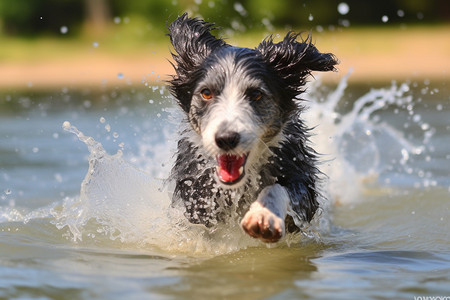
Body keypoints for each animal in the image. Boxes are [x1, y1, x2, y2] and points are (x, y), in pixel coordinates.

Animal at [167, 14, 336, 244]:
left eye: (256, 94)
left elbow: (281, 190)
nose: (226, 138)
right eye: (206, 93)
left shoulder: (298, 173)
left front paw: (263, 216)